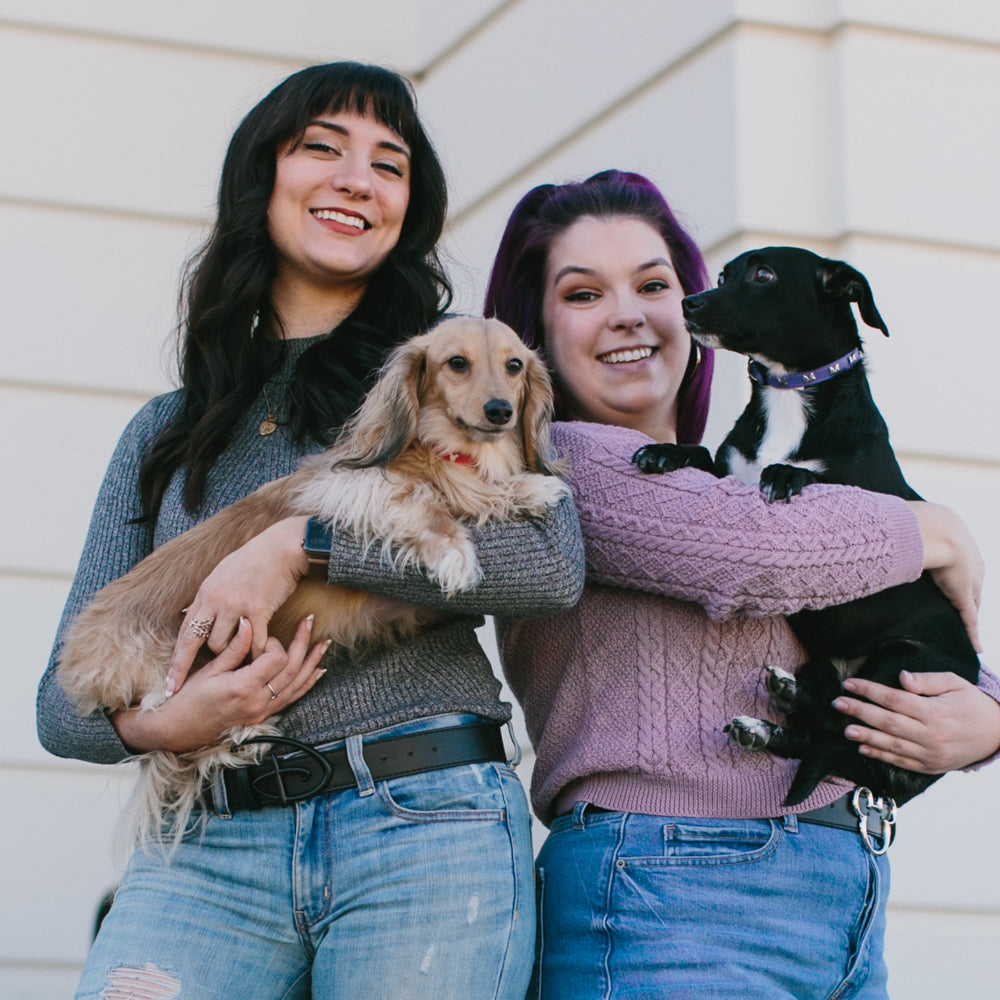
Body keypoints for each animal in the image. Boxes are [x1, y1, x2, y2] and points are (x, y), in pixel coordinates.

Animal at [636, 246, 980, 808]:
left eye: (763, 275)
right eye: (725, 273)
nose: (690, 303)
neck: (788, 399)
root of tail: (900, 783)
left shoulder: (862, 497)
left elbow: (811, 477)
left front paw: (784, 474)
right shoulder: (729, 472)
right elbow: (704, 456)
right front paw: (666, 451)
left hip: (901, 663)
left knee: (842, 729)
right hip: (828, 666)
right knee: (822, 730)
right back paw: (771, 720)